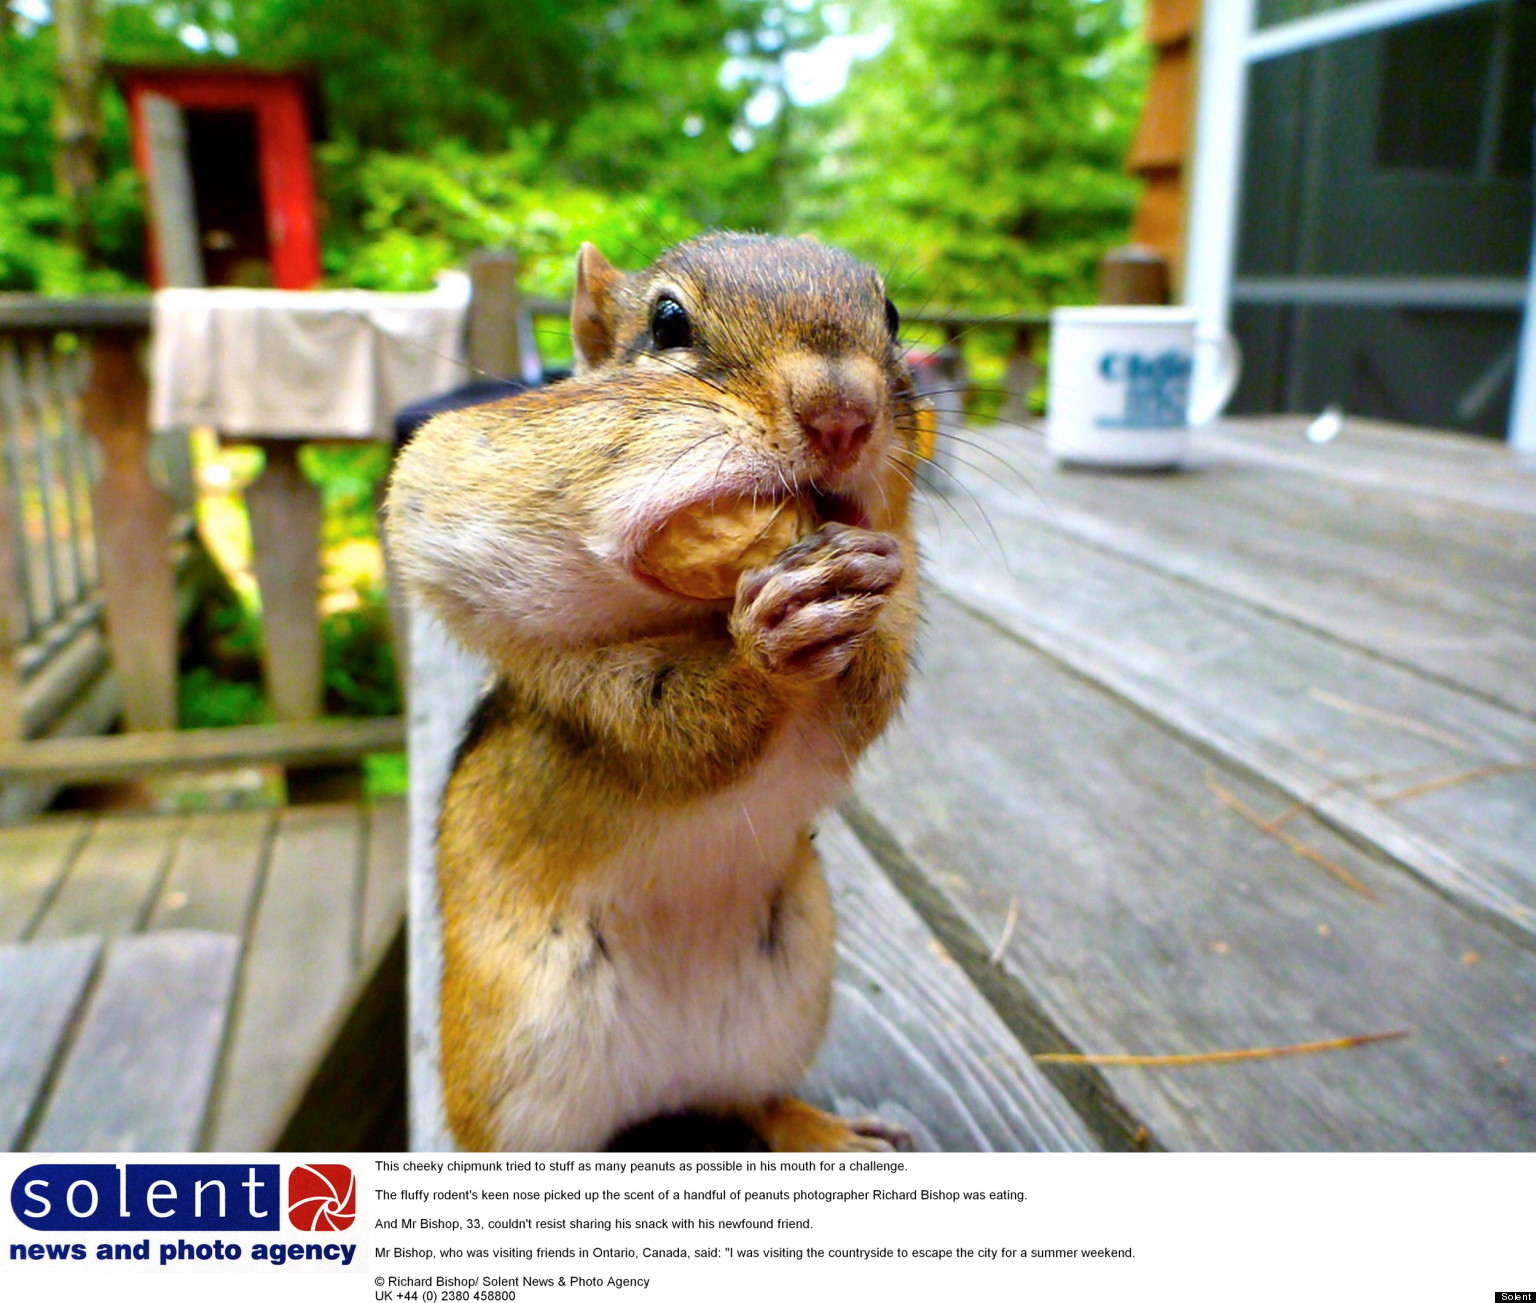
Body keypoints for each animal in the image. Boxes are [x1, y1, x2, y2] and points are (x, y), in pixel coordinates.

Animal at [387, 232, 921, 1151]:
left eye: (890, 316)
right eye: (668, 322)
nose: (844, 414)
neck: (696, 610)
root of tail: (662, 1086)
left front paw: (869, 591)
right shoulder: (498, 589)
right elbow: (658, 720)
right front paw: (763, 648)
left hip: (789, 994)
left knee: (752, 1099)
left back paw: (825, 1130)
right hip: (513, 1061)